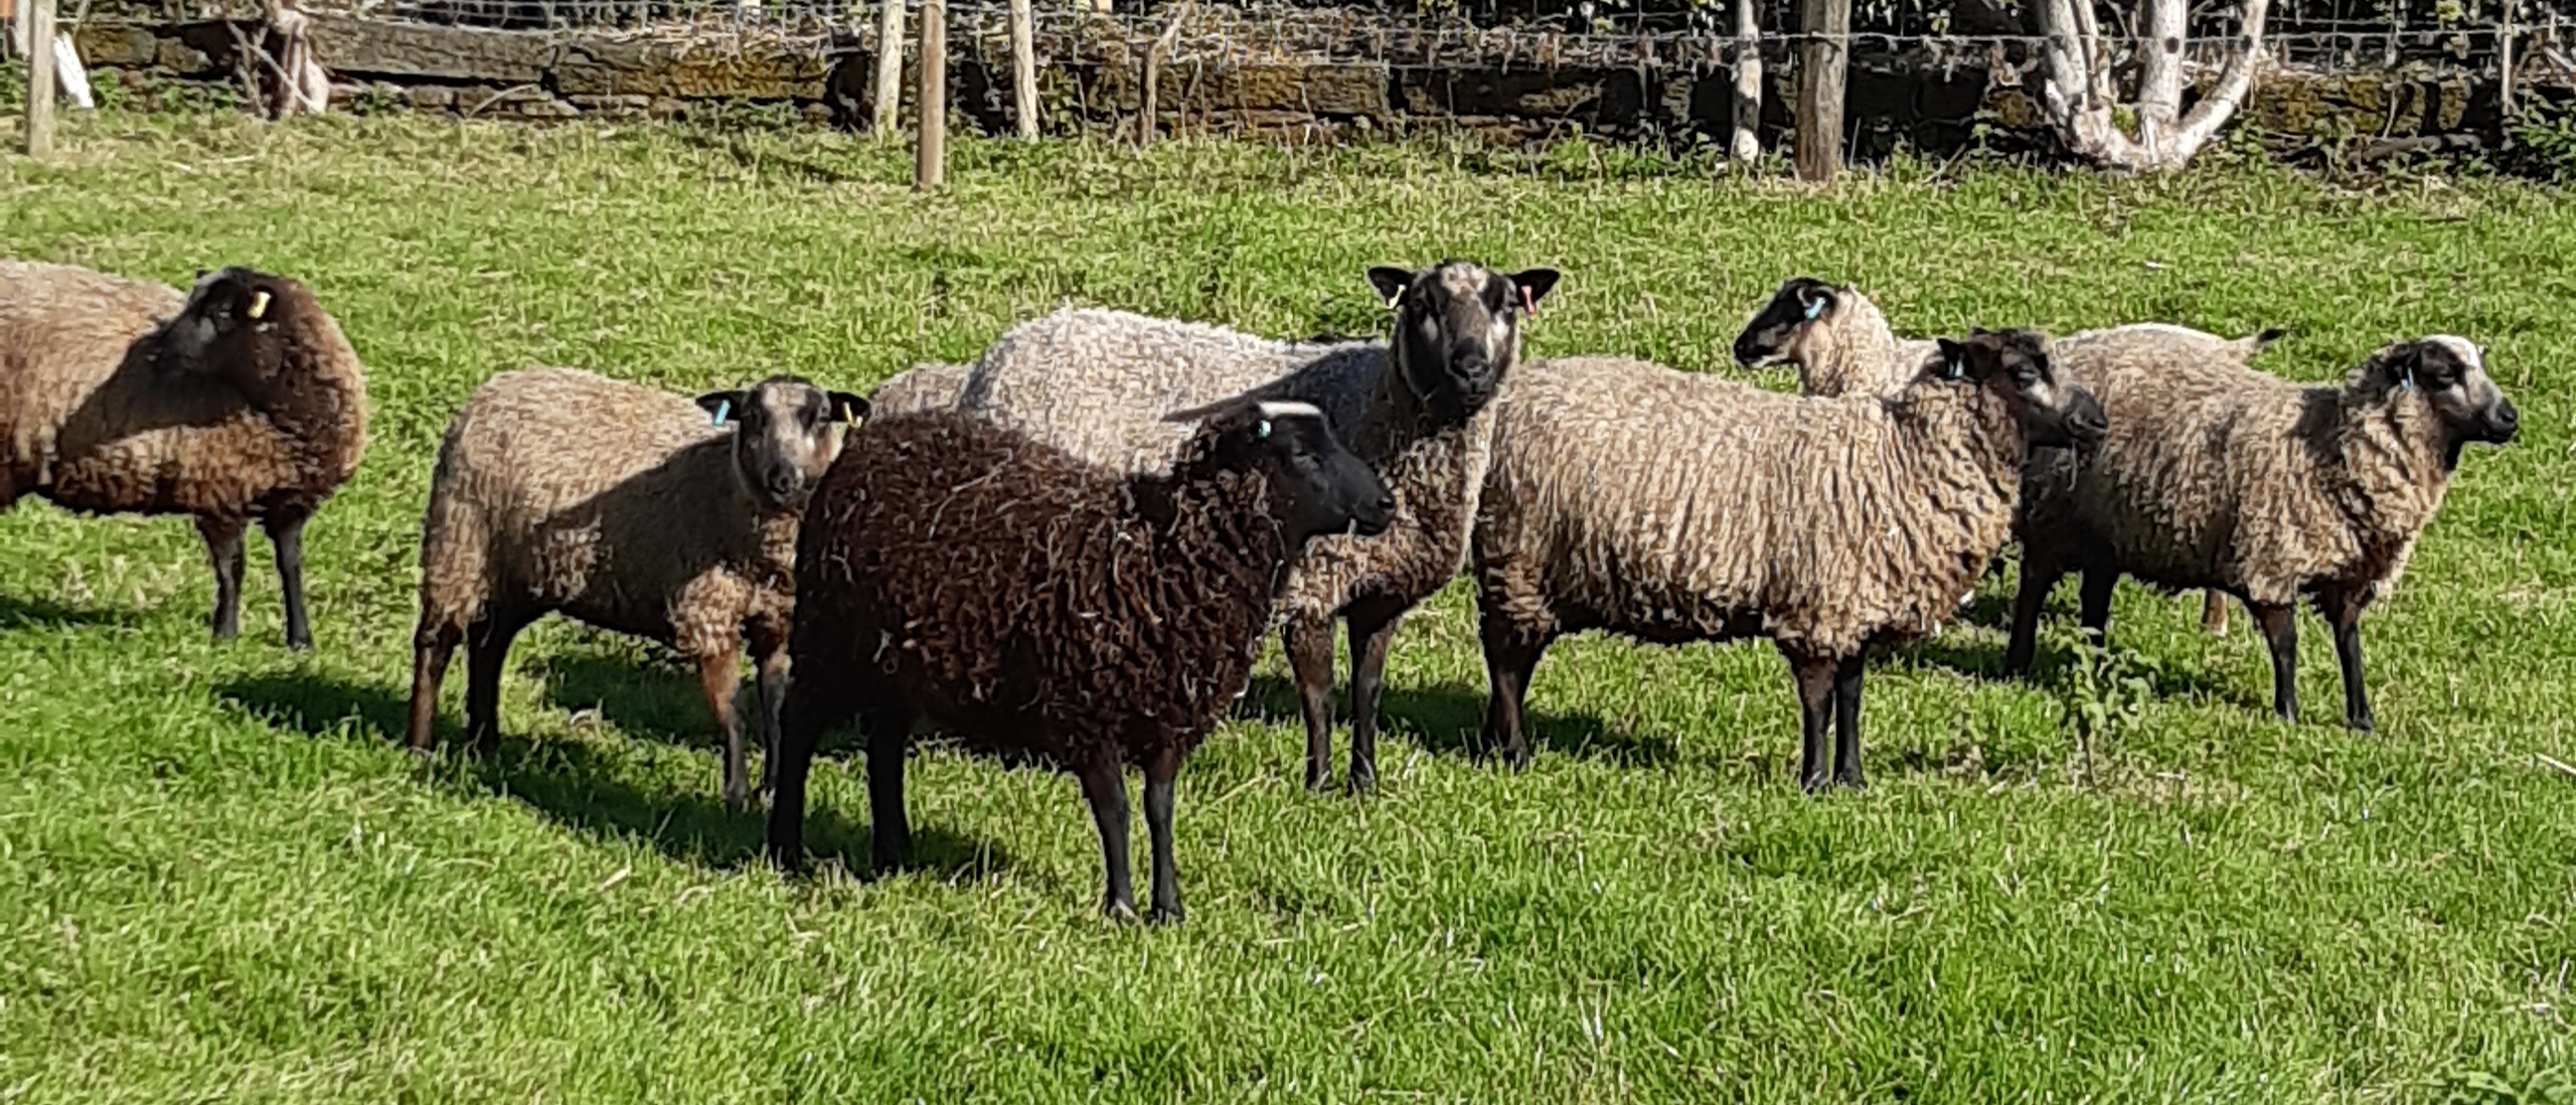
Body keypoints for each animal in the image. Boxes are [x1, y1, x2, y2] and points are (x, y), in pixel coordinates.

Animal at [0, 259, 371, 646]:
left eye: (223, 311)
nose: (153, 349)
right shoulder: (218, 490)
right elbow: (231, 568)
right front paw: (225, 635)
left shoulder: (291, 499)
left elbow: (291, 564)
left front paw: (301, 639)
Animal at [406, 366, 871, 803]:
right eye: (753, 416)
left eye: (821, 417)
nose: (783, 479)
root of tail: (492, 388)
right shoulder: (708, 611)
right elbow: (731, 709)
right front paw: (736, 793)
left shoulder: (777, 619)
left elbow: (774, 707)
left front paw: (771, 787)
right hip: (460, 539)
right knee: (436, 641)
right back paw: (420, 746)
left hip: (520, 570)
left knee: (489, 644)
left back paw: (484, 743)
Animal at [767, 398, 1390, 921]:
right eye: (1302, 452)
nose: (1386, 503)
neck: (1159, 557)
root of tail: (871, 438)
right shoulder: (1089, 712)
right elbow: (1115, 810)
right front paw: (1122, 907)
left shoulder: (1170, 714)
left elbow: (1160, 808)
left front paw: (1170, 907)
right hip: (827, 641)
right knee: (798, 728)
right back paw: (785, 848)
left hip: (895, 660)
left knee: (884, 748)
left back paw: (894, 850)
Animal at [1999, 334, 2524, 731]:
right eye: (2445, 375)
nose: (2509, 418)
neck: (2331, 446)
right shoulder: (2271, 557)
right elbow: (2286, 645)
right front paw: (2288, 713)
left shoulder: (2351, 575)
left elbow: (2350, 645)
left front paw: (2362, 719)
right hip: (2054, 514)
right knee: (2034, 583)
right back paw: (2017, 665)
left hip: (2107, 529)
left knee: (2094, 600)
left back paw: (2096, 662)